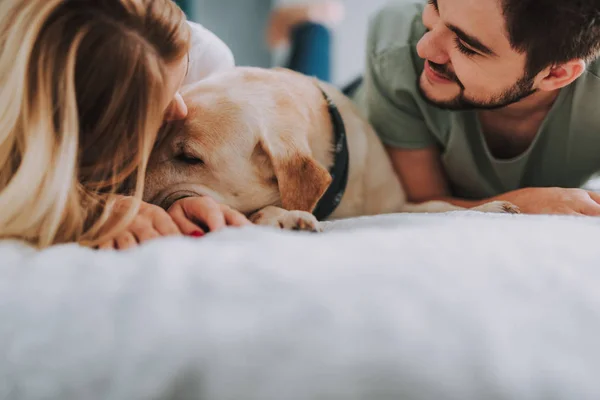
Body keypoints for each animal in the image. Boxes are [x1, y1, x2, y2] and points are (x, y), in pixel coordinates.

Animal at [143, 67, 516, 231]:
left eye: (189, 158)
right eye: (154, 140)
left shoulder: (394, 204)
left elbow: (434, 206)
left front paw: (487, 208)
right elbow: (263, 210)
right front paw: (288, 216)